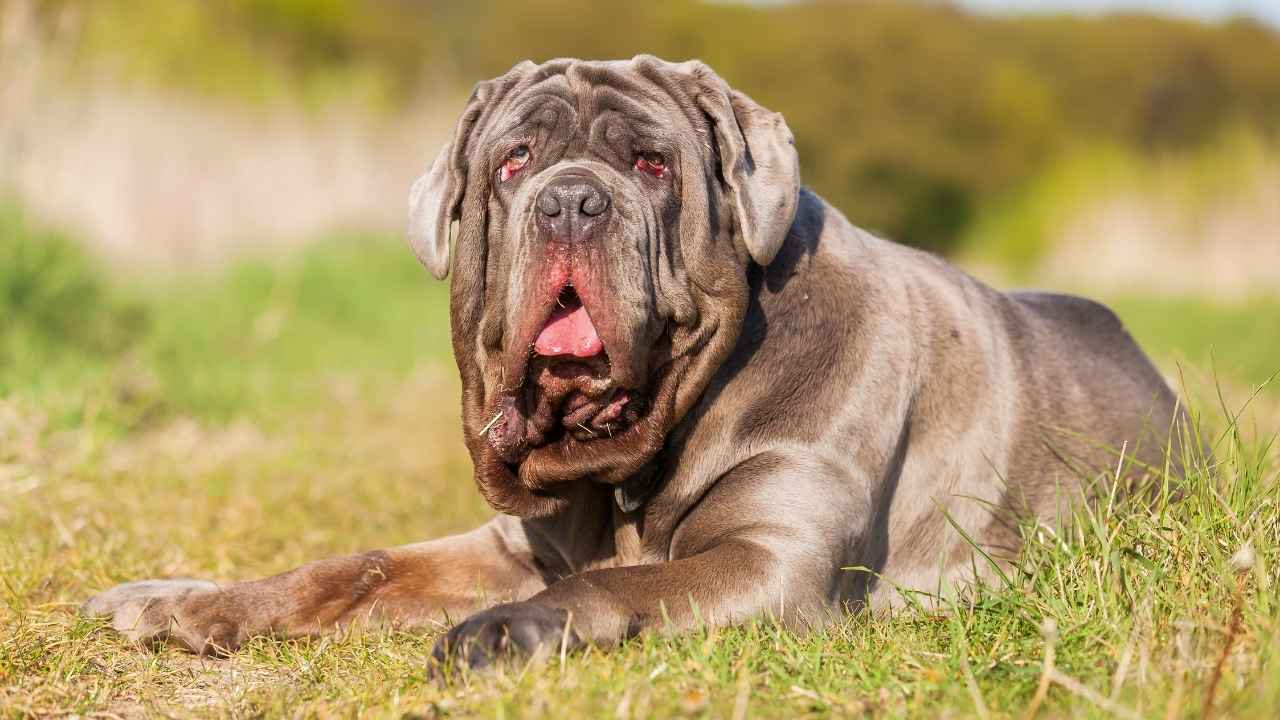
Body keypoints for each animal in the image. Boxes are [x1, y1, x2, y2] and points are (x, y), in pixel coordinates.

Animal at [82, 56, 1177, 666]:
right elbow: (353, 565)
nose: (572, 200)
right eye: (513, 161)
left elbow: (621, 587)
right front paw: (178, 600)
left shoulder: (771, 559)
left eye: (651, 163)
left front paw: (505, 631)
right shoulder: (509, 547)